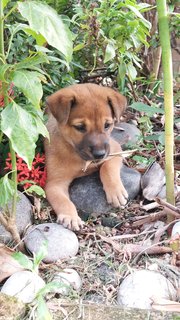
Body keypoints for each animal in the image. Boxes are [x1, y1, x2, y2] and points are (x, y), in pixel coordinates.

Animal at [45, 83, 129, 230]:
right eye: (80, 127)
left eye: (107, 125)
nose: (99, 154)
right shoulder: (54, 184)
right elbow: (63, 201)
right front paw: (70, 216)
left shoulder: (114, 151)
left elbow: (107, 168)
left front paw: (116, 191)